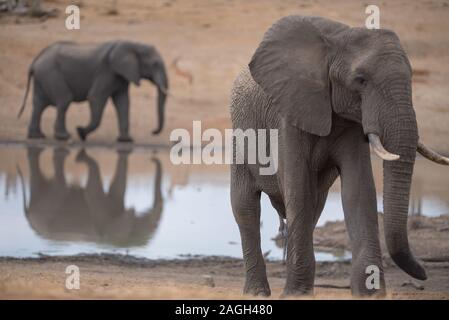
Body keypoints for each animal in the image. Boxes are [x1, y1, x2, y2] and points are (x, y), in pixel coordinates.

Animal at [17, 39, 168, 141]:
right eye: (155, 64)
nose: (153, 131)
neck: (134, 44)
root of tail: (36, 59)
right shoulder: (107, 71)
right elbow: (95, 97)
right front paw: (81, 132)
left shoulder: (121, 75)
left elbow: (123, 102)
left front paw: (126, 140)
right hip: (50, 73)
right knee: (64, 100)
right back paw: (63, 137)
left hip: (43, 75)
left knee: (39, 104)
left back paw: (37, 136)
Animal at [231, 16, 448, 298]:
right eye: (361, 80)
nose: (423, 271)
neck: (336, 40)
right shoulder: (288, 115)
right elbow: (298, 190)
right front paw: (297, 294)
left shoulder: (354, 123)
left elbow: (358, 191)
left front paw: (370, 292)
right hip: (240, 134)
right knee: (245, 206)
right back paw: (256, 293)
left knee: (314, 208)